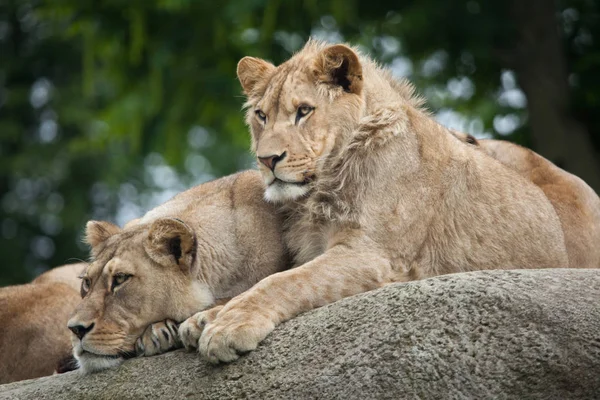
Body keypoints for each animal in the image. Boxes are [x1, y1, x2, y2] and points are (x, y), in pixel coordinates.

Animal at [171, 39, 584, 362]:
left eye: (304, 111)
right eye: (261, 115)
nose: (267, 160)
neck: (321, 187)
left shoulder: (373, 255)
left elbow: (284, 282)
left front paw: (228, 325)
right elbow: (271, 280)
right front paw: (206, 316)